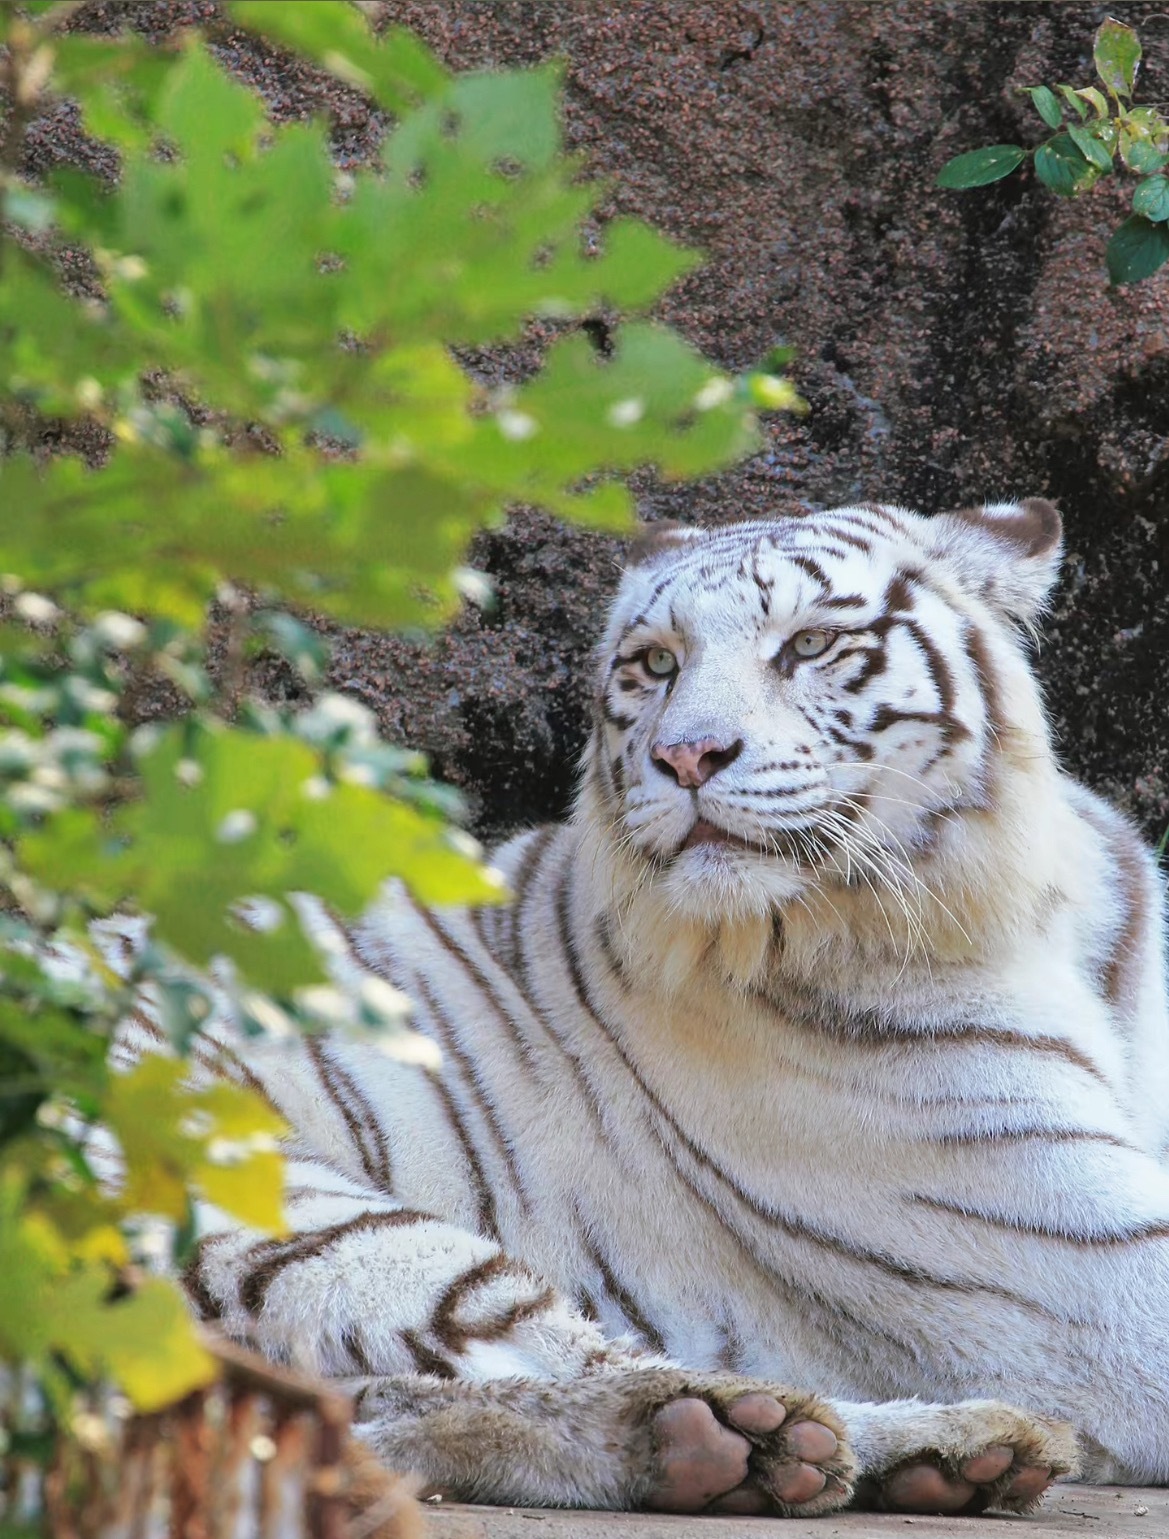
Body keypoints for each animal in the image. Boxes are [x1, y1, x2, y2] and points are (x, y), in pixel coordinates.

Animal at [143, 496, 1169, 1518]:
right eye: (656, 662)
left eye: (809, 643)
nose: (686, 754)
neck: (1031, 911)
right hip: (274, 1200)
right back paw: (760, 1435)